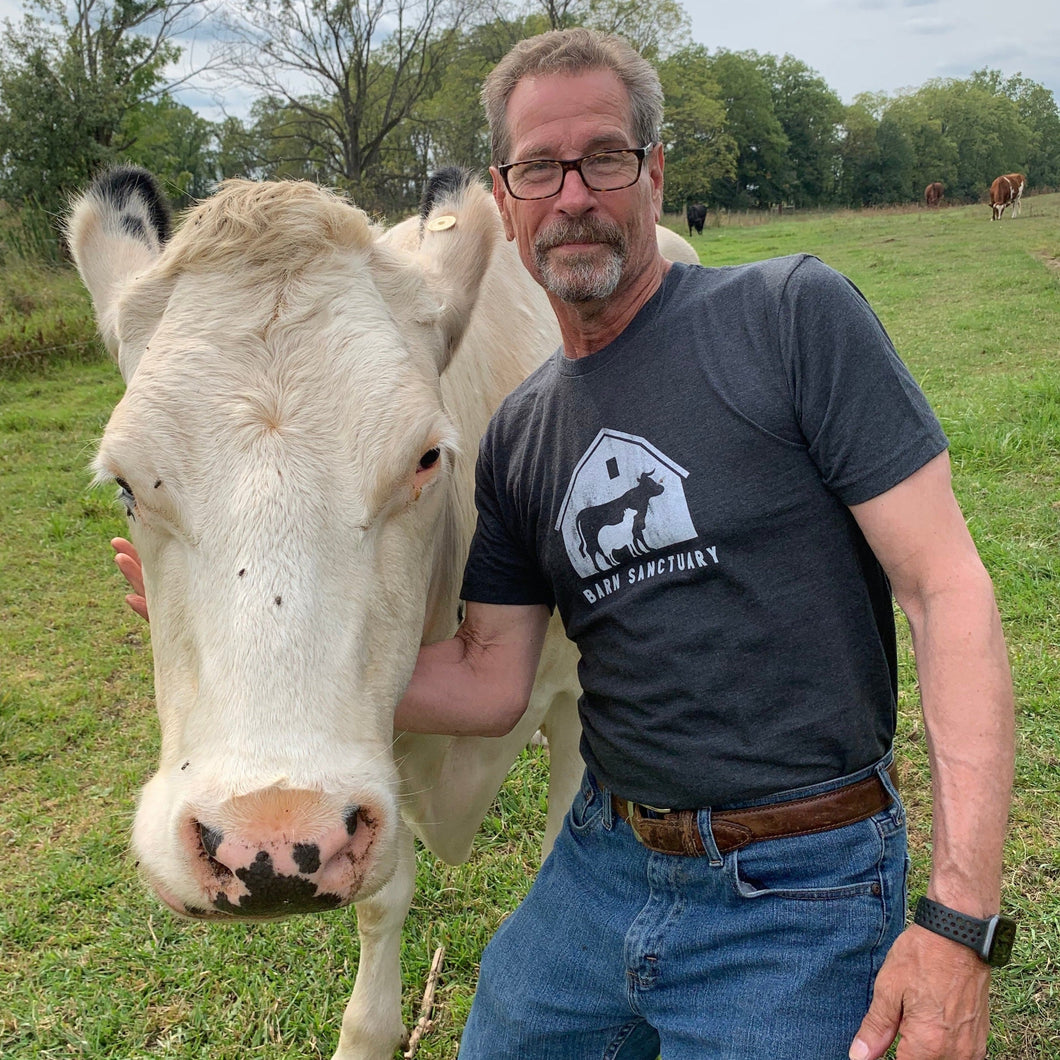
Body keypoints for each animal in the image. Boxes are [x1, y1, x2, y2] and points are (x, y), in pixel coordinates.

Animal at [64, 169, 695, 1055]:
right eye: (124, 483)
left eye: (427, 458)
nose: (266, 845)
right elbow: (383, 899)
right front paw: (369, 1029)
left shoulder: (579, 706)